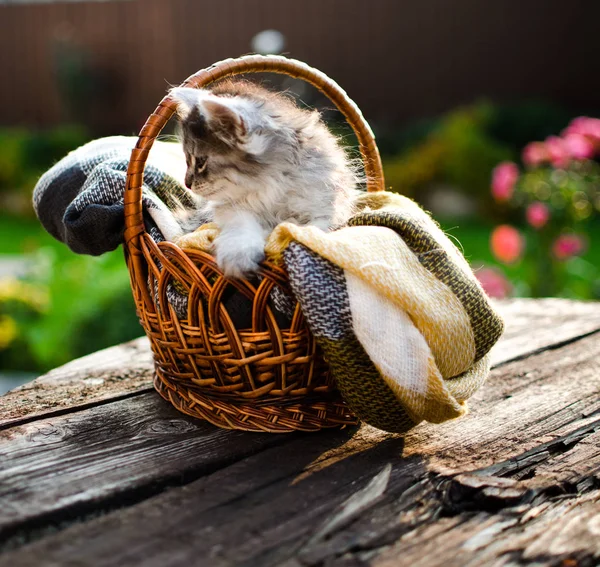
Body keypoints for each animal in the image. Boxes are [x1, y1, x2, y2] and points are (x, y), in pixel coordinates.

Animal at [171, 80, 358, 280]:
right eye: (187, 159)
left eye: (200, 162)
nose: (187, 183)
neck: (272, 188)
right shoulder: (229, 208)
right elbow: (241, 225)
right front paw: (238, 256)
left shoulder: (327, 209)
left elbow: (309, 229)